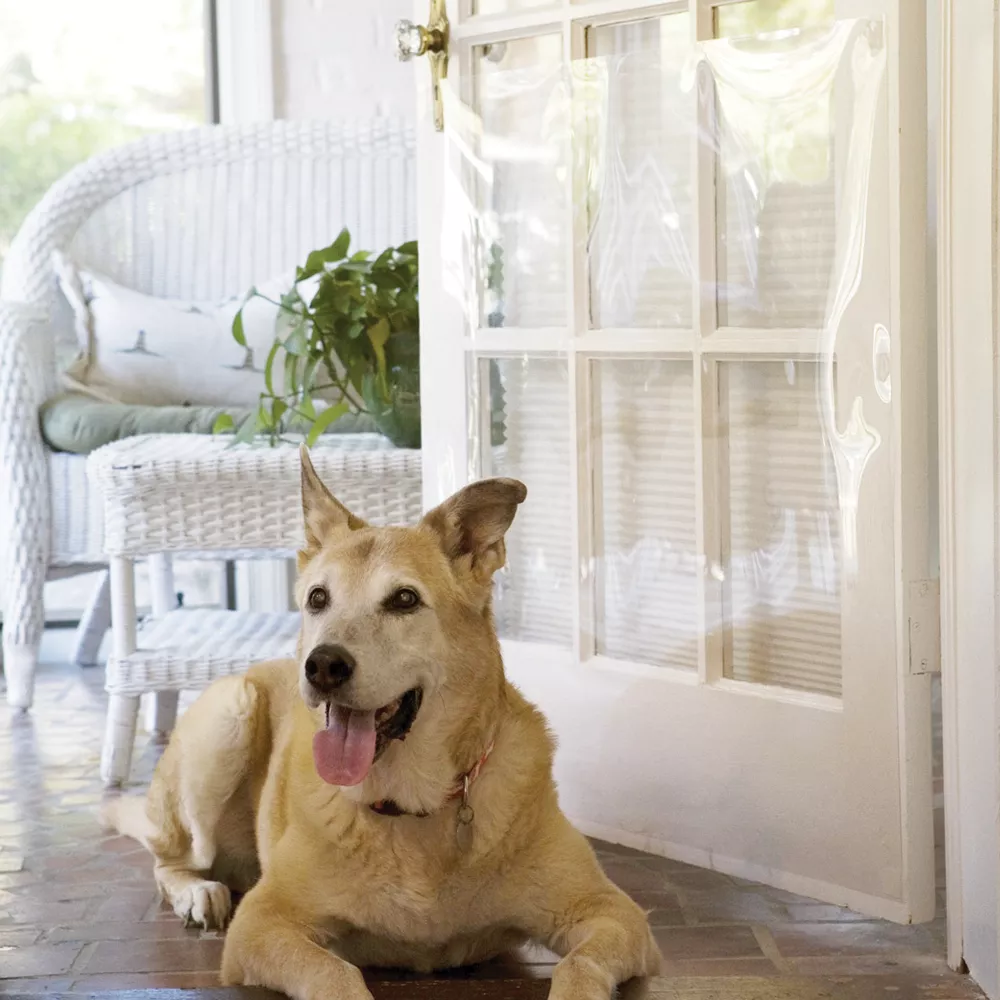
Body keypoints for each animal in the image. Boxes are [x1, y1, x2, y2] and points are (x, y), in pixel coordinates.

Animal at [105, 448, 660, 1000]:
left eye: (404, 600)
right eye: (318, 599)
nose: (323, 666)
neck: (408, 805)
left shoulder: (614, 914)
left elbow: (578, 966)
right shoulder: (262, 924)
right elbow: (334, 973)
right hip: (229, 715)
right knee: (173, 857)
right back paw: (197, 892)